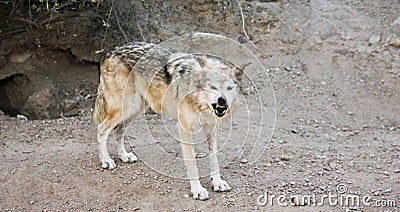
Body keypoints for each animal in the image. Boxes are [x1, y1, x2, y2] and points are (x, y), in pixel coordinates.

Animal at [93, 41, 247, 200]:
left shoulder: (211, 128)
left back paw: (124, 156)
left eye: (229, 88)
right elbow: (192, 163)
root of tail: (111, 51)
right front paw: (197, 190)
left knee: (118, 130)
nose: (222, 100)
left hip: (136, 109)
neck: (200, 103)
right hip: (126, 108)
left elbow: (214, 158)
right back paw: (106, 160)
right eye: (212, 87)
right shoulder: (184, 128)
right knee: (101, 129)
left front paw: (217, 182)